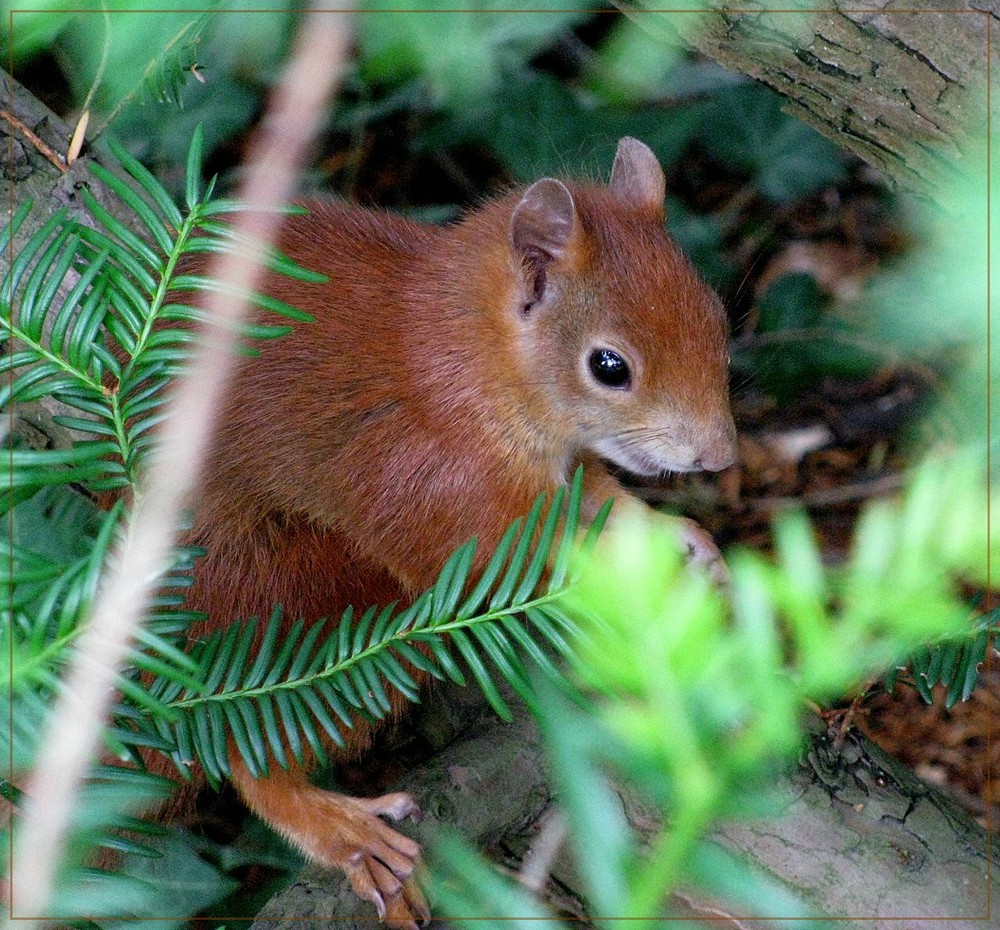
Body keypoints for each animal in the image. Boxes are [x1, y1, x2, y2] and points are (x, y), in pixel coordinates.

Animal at [172, 138, 736, 928]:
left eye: (715, 318)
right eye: (609, 366)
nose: (720, 457)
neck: (471, 360)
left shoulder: (558, 470)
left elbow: (598, 502)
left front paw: (685, 541)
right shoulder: (427, 476)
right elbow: (505, 556)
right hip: (305, 600)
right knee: (248, 742)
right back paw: (339, 827)